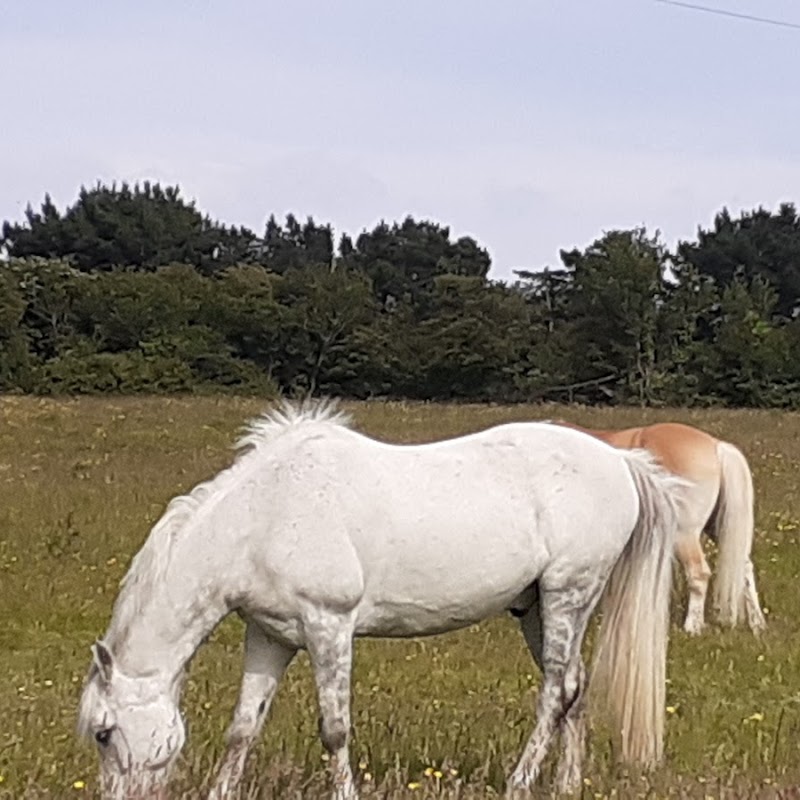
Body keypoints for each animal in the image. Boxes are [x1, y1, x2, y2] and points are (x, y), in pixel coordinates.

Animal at [79, 404, 680, 800]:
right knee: (573, 688)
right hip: (540, 609)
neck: (262, 515)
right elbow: (243, 727)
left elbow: (334, 728)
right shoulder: (270, 635)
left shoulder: (329, 626)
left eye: (105, 733)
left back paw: (517, 783)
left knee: (554, 694)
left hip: (567, 595)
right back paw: (566, 785)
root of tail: (620, 461)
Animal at [560, 422, 764, 636]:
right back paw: (757, 623)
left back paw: (692, 627)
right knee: (744, 566)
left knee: (698, 573)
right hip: (719, 526)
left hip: (683, 533)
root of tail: (715, 445)